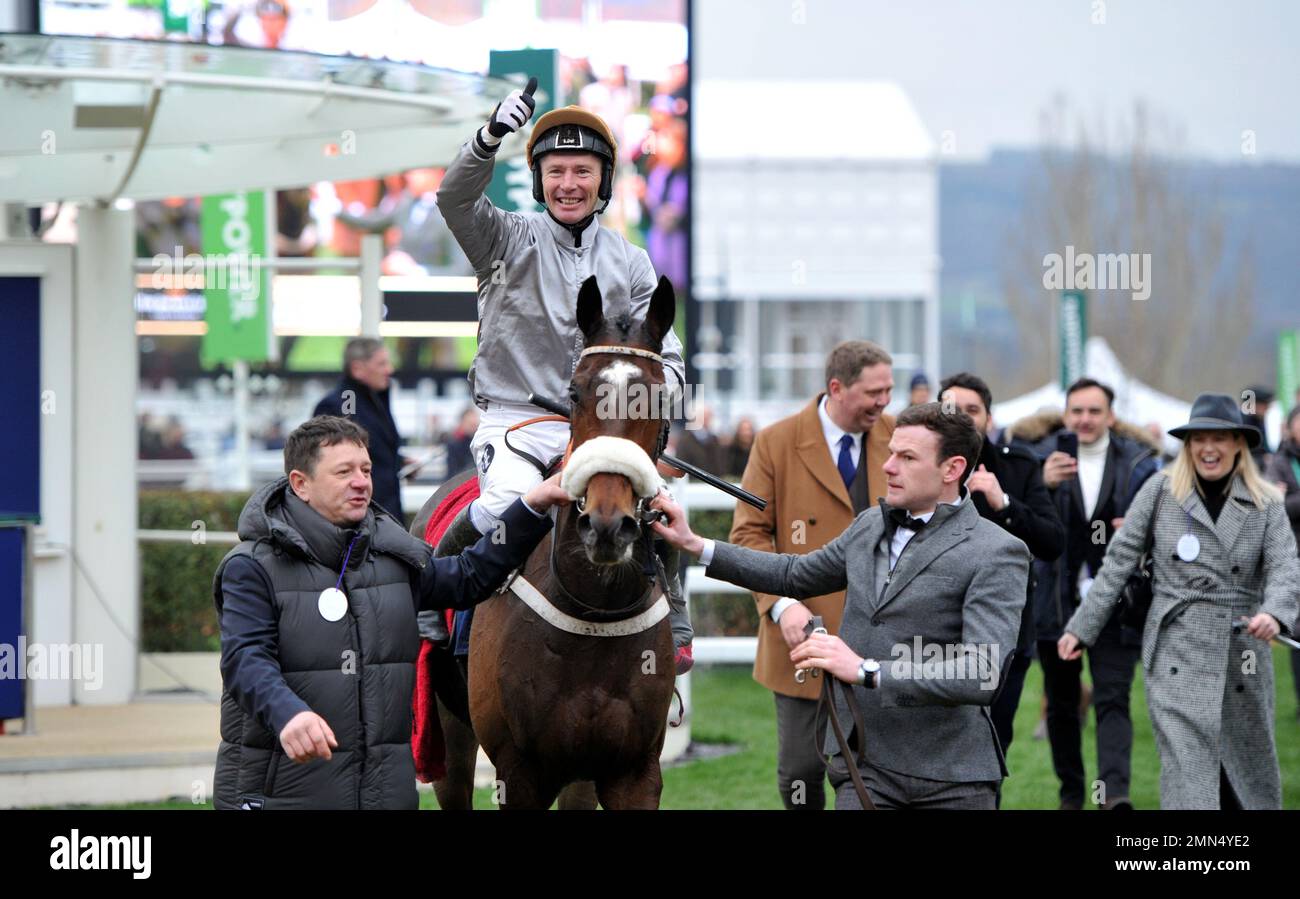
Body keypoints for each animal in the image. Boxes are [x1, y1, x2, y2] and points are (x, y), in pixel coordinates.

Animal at [413, 274, 681, 805]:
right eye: (575, 393)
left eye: (659, 397)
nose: (606, 524)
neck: (594, 608)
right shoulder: (519, 773)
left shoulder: (636, 772)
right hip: (449, 734)